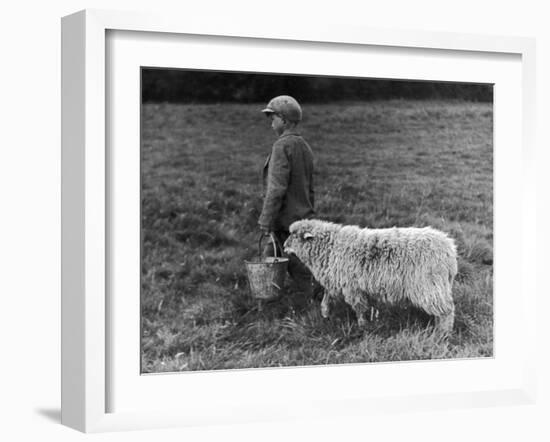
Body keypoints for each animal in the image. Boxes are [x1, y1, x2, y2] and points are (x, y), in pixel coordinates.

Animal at [282, 218, 460, 332]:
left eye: (294, 235)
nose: (283, 246)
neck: (330, 247)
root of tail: (449, 250)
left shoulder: (351, 287)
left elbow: (359, 308)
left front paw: (363, 326)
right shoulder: (335, 281)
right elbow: (327, 297)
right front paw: (325, 314)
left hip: (429, 285)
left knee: (447, 310)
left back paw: (443, 334)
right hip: (437, 285)